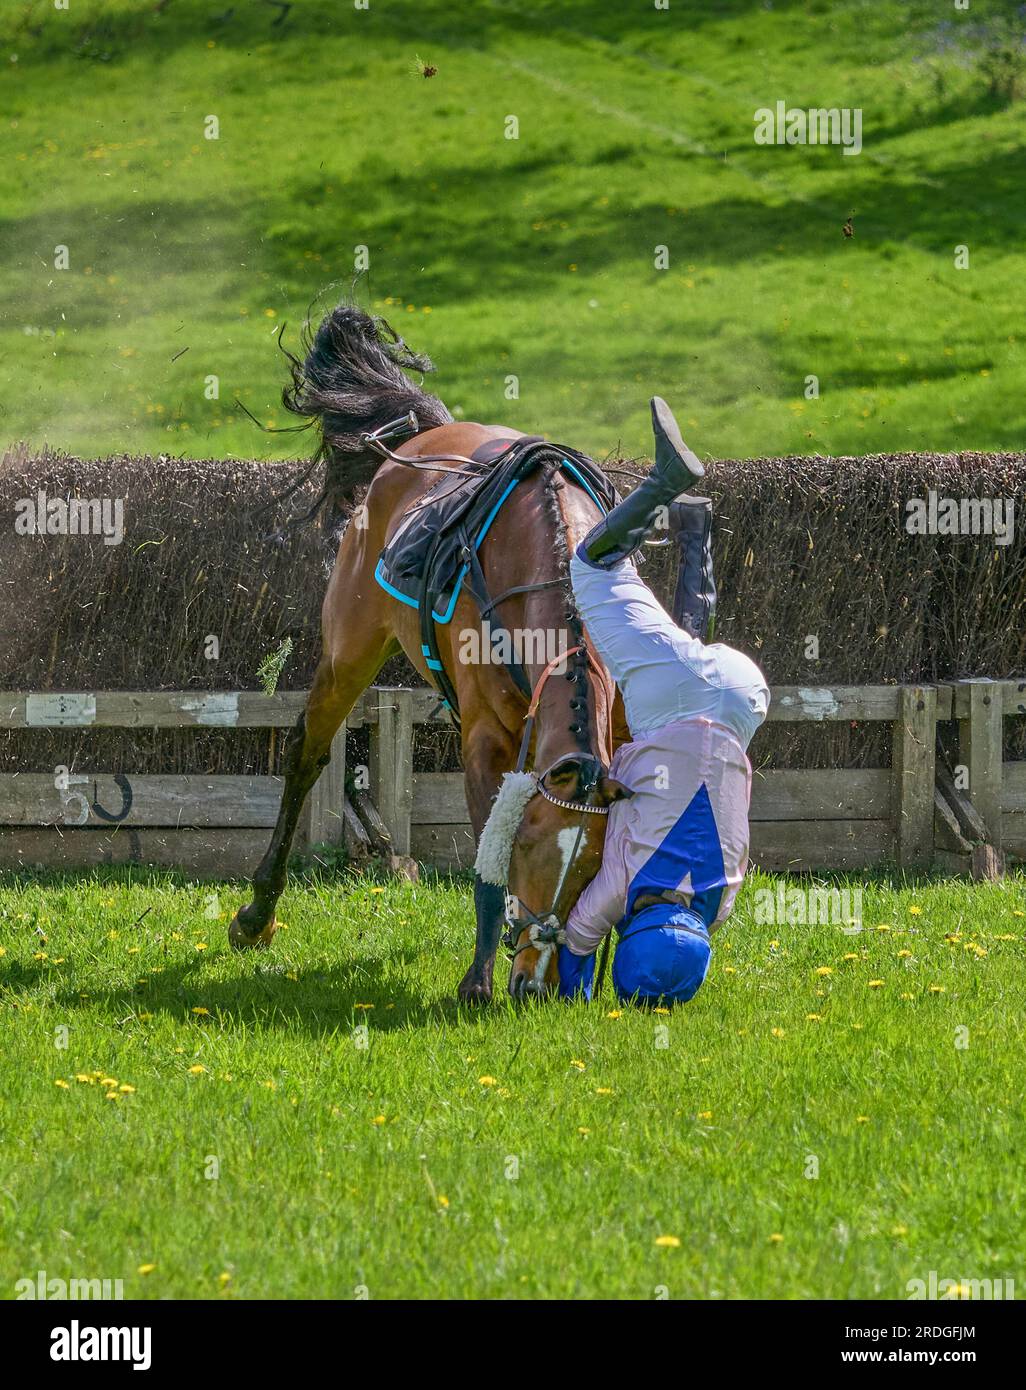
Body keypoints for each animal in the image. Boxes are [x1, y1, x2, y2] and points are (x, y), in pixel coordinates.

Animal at [228, 301, 628, 1000]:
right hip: (349, 649)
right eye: (529, 849)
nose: (536, 984)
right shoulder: (485, 739)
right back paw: (258, 913)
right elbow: (485, 863)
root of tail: (426, 434)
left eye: (590, 872)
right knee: (308, 748)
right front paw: (478, 980)